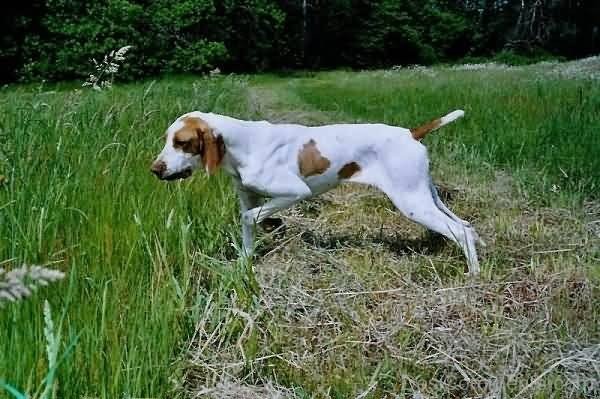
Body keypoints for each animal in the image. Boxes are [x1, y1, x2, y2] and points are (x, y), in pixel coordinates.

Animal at [151, 111, 482, 276]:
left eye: (182, 142)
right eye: (167, 139)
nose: (154, 169)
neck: (242, 145)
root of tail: (410, 134)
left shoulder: (294, 191)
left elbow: (250, 218)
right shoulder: (248, 196)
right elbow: (248, 227)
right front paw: (244, 264)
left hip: (411, 201)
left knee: (461, 231)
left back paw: (474, 276)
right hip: (425, 196)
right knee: (466, 226)